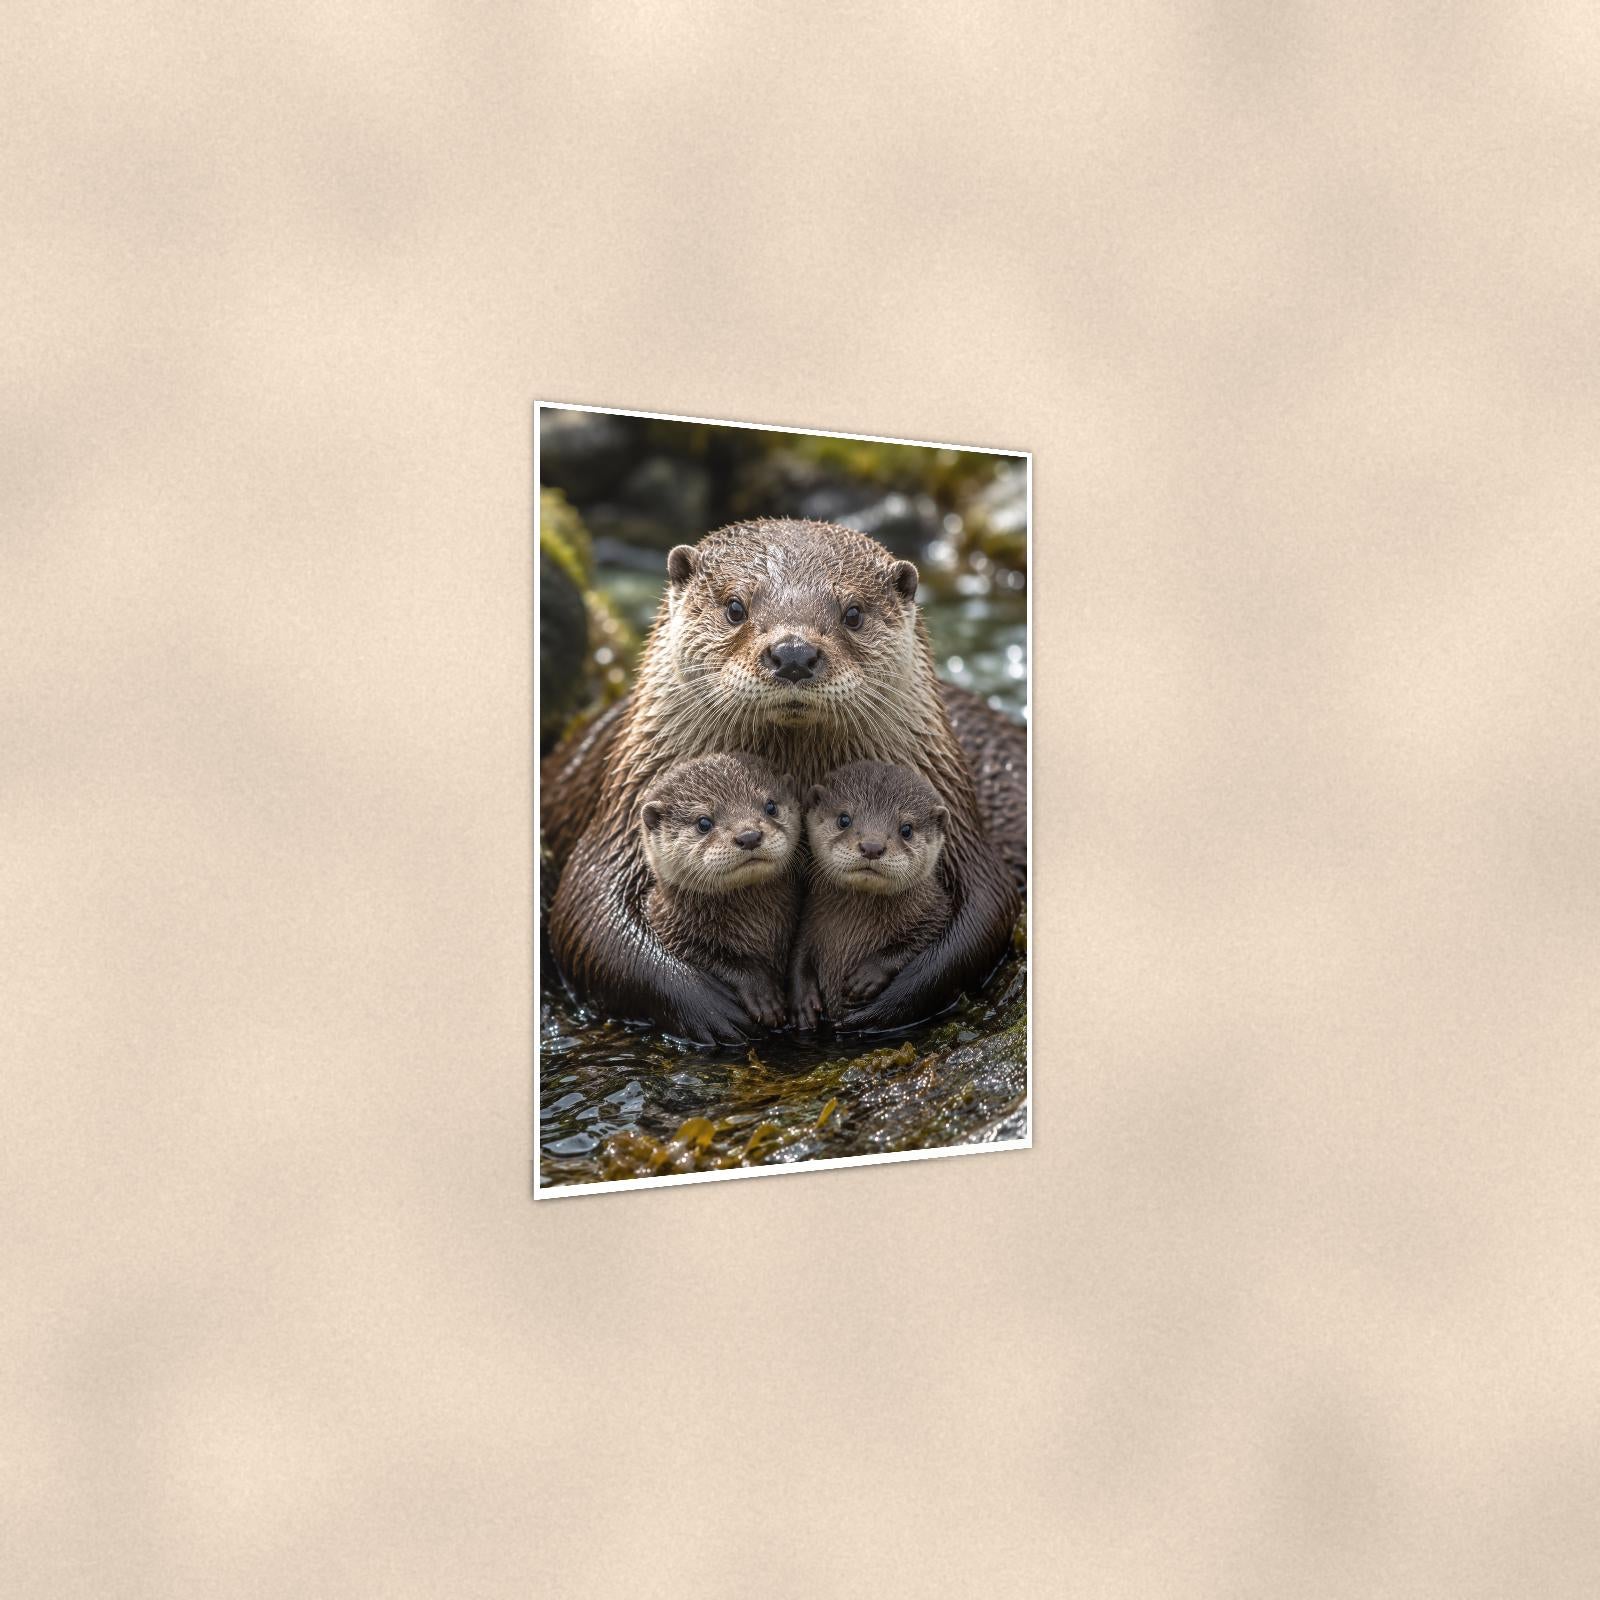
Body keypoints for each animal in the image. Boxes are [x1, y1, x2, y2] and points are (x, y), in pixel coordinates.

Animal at [639, 752, 800, 1028]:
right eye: (703, 822)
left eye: (770, 806)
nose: (749, 836)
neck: (757, 925)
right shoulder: (671, 930)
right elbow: (719, 961)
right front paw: (763, 995)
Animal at [789, 763, 952, 1030]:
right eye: (844, 819)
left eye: (906, 829)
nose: (872, 847)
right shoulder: (808, 921)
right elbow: (797, 957)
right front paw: (802, 1002)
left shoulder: (937, 910)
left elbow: (918, 940)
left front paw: (868, 975)